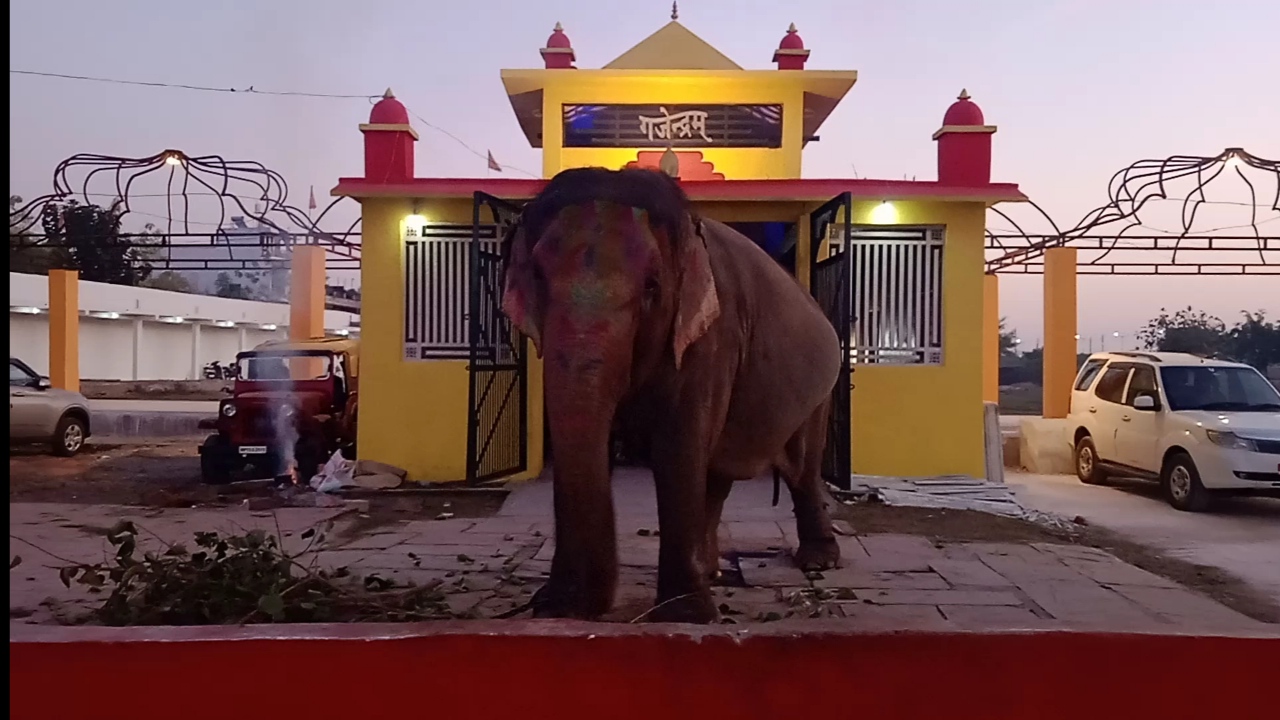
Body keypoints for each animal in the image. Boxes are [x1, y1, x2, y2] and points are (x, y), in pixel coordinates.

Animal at [501, 165, 849, 620]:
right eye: (539, 277)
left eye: (653, 286)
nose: (583, 604)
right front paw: (554, 606)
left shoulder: (711, 339)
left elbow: (678, 448)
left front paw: (686, 615)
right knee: (718, 475)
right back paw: (713, 570)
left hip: (817, 392)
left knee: (803, 467)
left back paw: (818, 561)